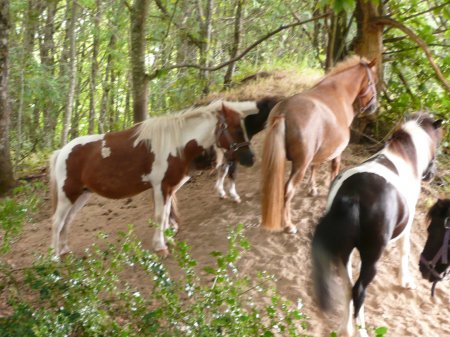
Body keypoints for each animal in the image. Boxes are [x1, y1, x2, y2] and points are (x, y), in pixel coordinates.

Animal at [49, 101, 255, 256]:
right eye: (237, 130)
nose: (250, 158)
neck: (176, 144)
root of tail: (63, 151)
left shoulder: (169, 188)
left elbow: (166, 215)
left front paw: (167, 240)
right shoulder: (161, 187)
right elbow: (160, 216)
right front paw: (160, 246)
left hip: (81, 195)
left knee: (67, 221)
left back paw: (64, 250)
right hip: (67, 195)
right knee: (57, 222)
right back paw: (54, 258)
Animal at [260, 55, 380, 234]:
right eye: (373, 83)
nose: (374, 107)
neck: (338, 93)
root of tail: (284, 113)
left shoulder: (320, 150)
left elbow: (315, 166)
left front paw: (313, 188)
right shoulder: (338, 150)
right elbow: (334, 170)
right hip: (299, 166)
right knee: (288, 190)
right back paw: (289, 224)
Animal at [312, 113, 442, 336]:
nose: (432, 174)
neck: (405, 157)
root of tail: (353, 196)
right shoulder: (408, 226)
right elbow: (405, 250)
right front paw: (405, 281)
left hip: (344, 253)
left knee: (347, 287)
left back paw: (346, 328)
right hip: (371, 257)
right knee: (358, 290)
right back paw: (361, 331)